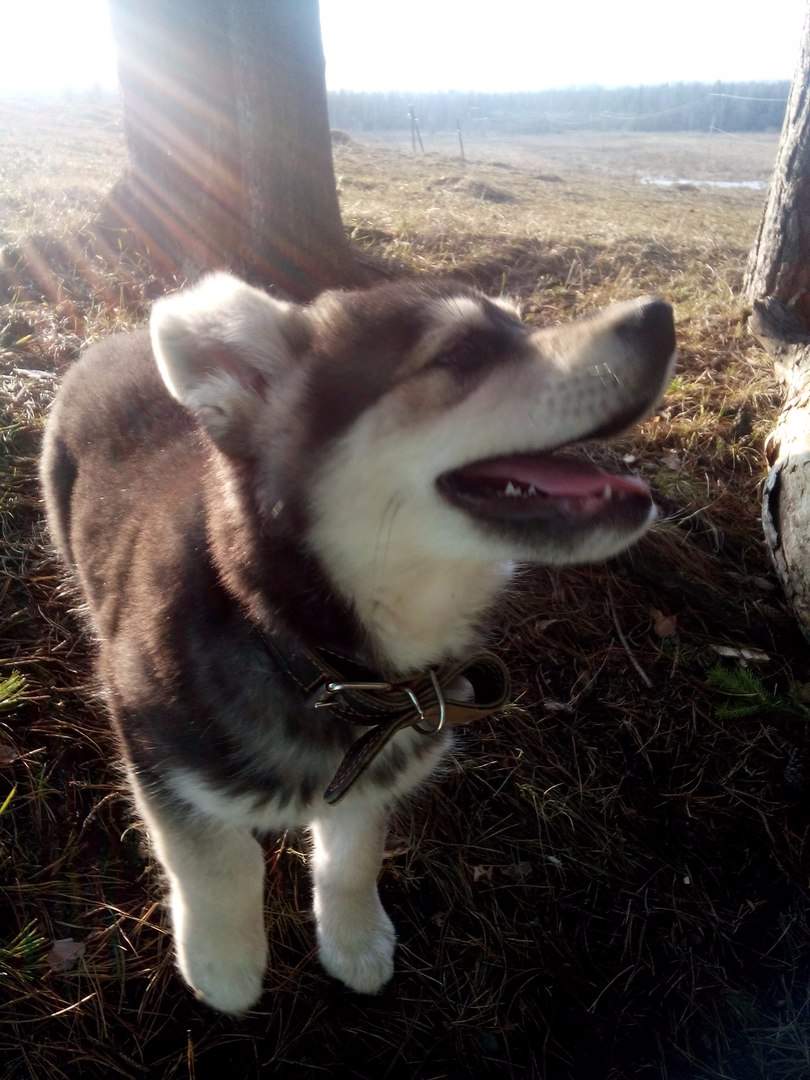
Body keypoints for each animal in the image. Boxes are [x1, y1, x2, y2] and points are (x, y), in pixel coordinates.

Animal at [38, 270, 673, 1010]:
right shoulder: (156, 753)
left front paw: (353, 937)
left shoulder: (378, 771)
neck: (311, 652)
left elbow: (354, 855)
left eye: (521, 324)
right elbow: (219, 861)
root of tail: (112, 340)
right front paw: (224, 962)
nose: (661, 317)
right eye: (461, 352)